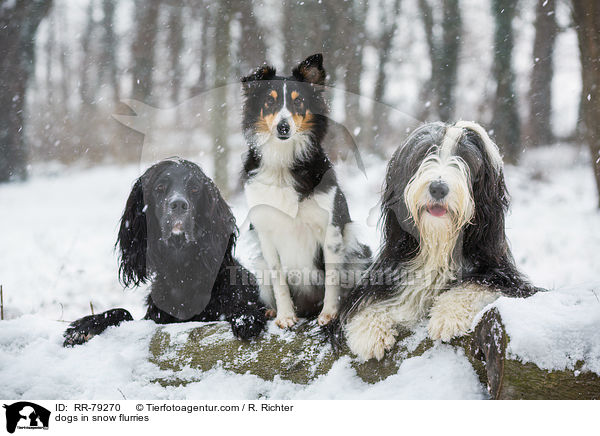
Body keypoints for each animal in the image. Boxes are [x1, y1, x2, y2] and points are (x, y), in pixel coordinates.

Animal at [62, 158, 264, 346]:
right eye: (160, 187)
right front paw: (84, 327)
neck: (183, 272)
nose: (179, 205)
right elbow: (122, 311)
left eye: (194, 189)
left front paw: (247, 315)